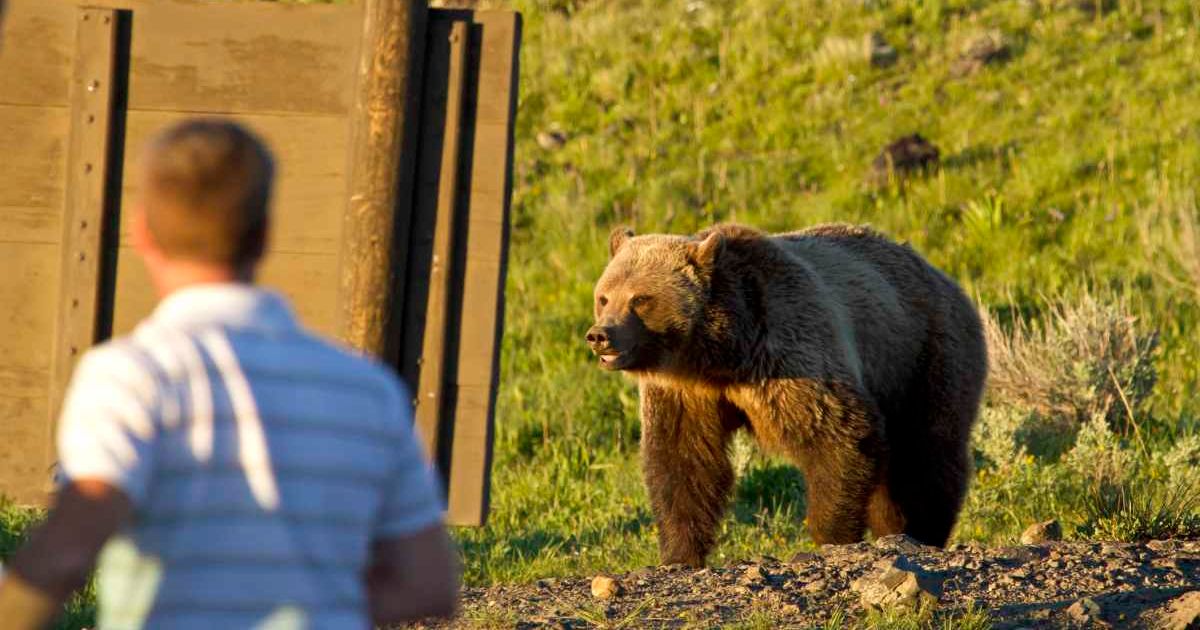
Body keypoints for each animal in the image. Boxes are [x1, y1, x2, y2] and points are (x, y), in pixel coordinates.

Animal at [586, 222, 987, 566]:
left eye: (640, 299)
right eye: (604, 297)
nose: (600, 335)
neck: (718, 353)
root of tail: (942, 275)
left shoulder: (787, 349)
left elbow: (838, 434)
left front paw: (831, 536)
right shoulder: (685, 390)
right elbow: (684, 461)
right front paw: (679, 554)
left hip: (923, 355)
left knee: (926, 452)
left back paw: (918, 530)